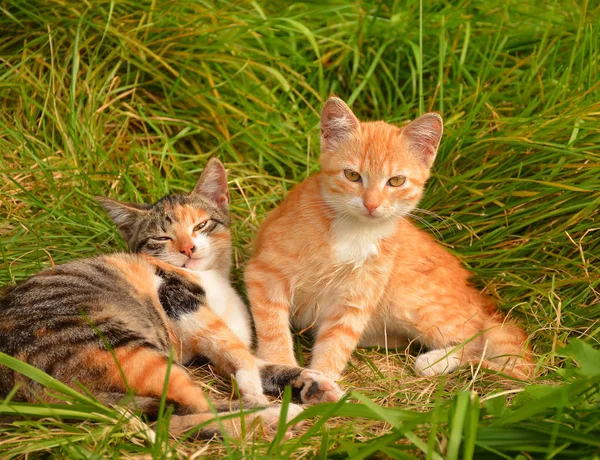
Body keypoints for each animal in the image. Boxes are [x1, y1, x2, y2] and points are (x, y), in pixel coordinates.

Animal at [0, 159, 338, 438]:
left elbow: (251, 359)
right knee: (190, 408)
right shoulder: (178, 297)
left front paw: (311, 379)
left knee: (168, 420)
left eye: (201, 224)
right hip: (120, 344)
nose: (188, 248)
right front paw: (256, 390)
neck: (211, 278)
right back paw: (273, 416)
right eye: (162, 237)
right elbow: (236, 349)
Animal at [244, 97, 536, 380]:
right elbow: (273, 327)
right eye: (352, 175)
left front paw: (322, 379)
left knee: (477, 336)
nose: (371, 204)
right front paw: (282, 364)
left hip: (414, 304)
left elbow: (337, 343)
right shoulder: (266, 273)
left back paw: (435, 362)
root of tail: (475, 294)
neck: (355, 231)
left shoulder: (355, 300)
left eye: (396, 181)